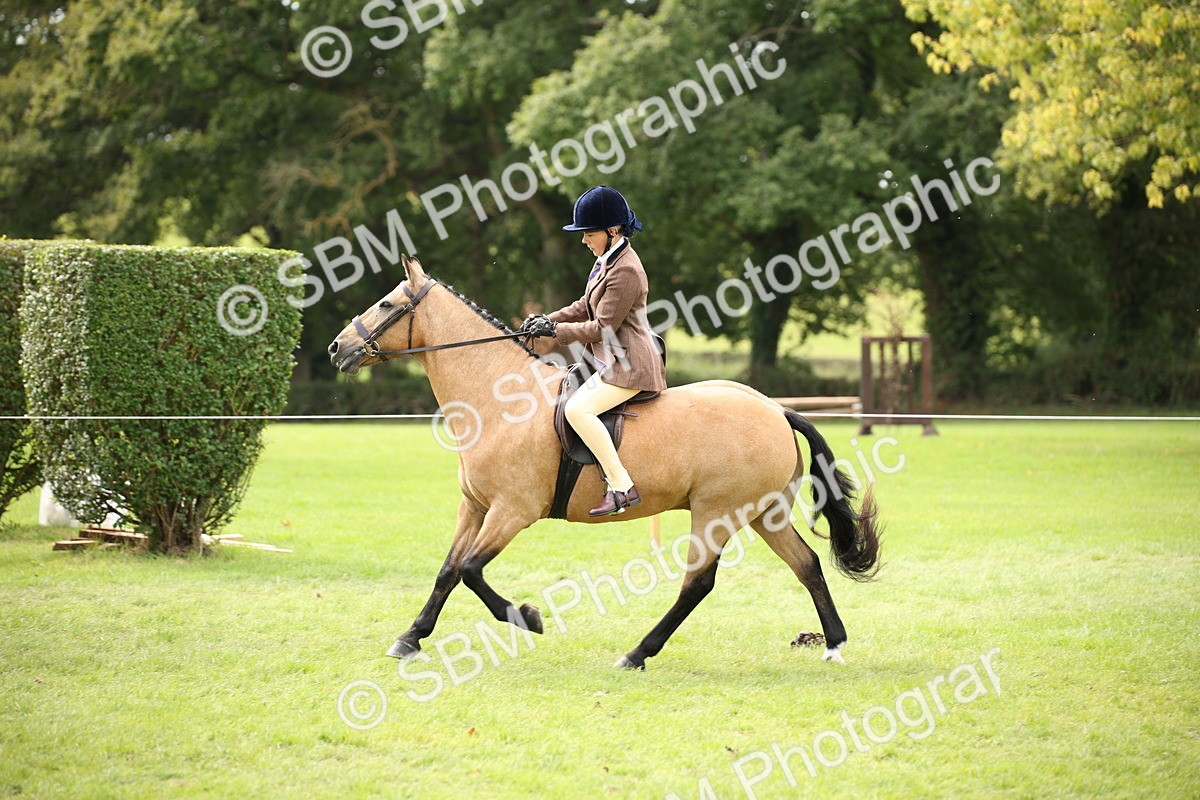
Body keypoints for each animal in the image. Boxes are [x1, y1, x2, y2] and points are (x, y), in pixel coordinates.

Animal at [327, 256, 880, 669]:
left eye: (387, 303)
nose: (337, 347)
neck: (498, 400)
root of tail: (775, 409)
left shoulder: (512, 511)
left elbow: (470, 570)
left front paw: (528, 617)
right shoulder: (476, 507)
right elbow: (447, 571)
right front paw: (410, 637)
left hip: (716, 513)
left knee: (698, 584)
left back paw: (637, 654)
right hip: (765, 513)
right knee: (806, 564)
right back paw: (834, 643)